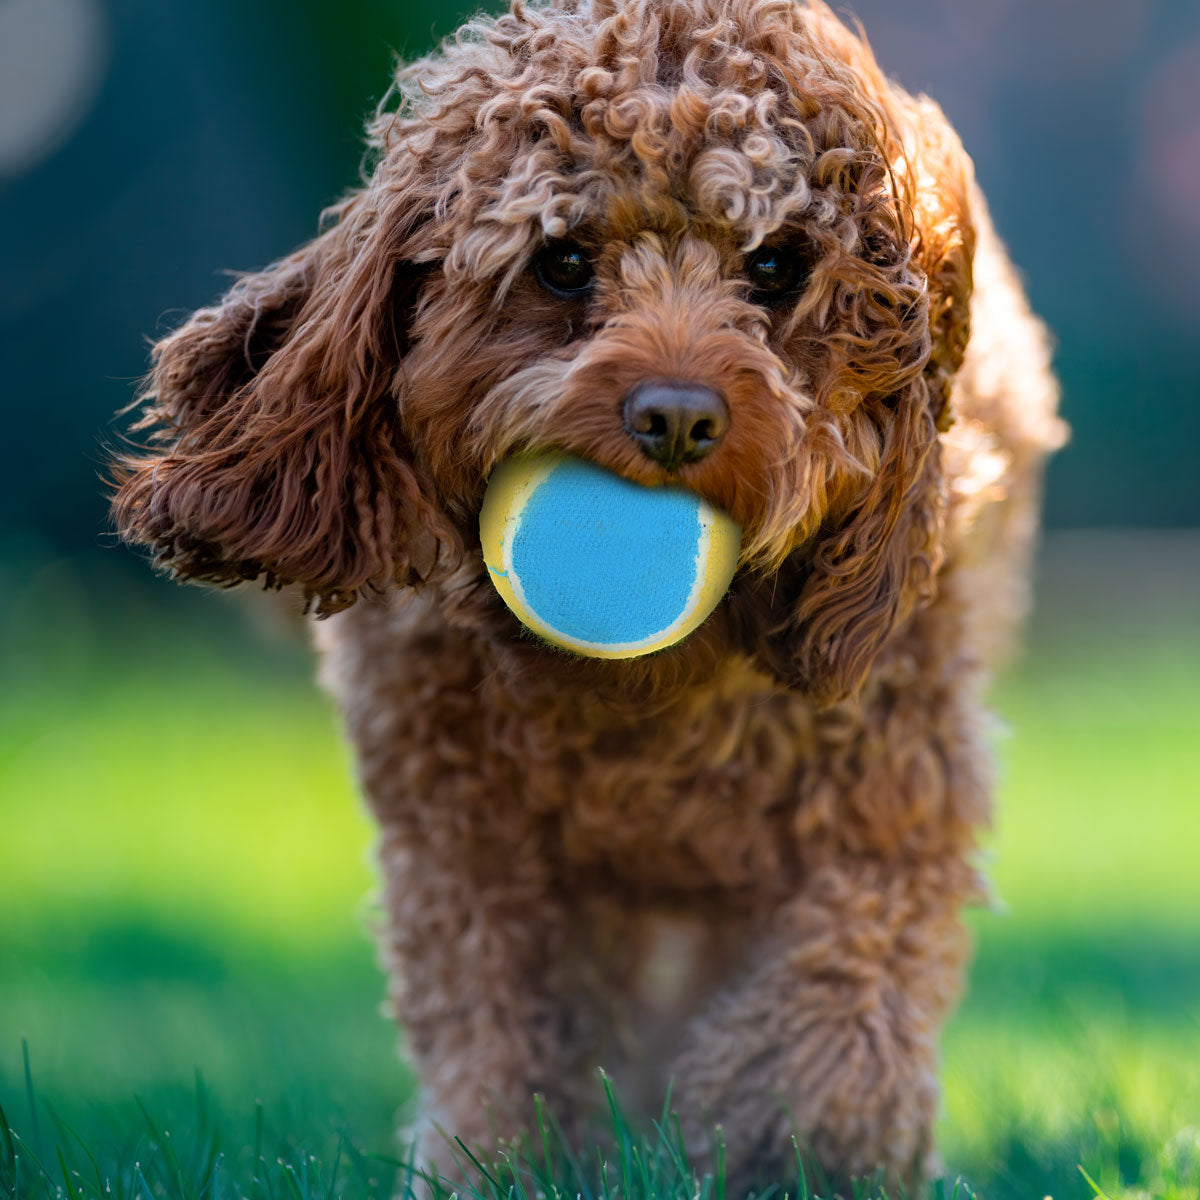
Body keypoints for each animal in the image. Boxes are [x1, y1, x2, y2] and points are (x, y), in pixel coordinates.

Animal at [112, 2, 1065, 1190]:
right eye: (563, 263)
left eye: (775, 265)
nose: (678, 418)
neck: (647, 695)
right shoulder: (473, 848)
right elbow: (504, 1035)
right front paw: (499, 1165)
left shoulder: (882, 803)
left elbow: (833, 1013)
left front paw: (791, 1156)